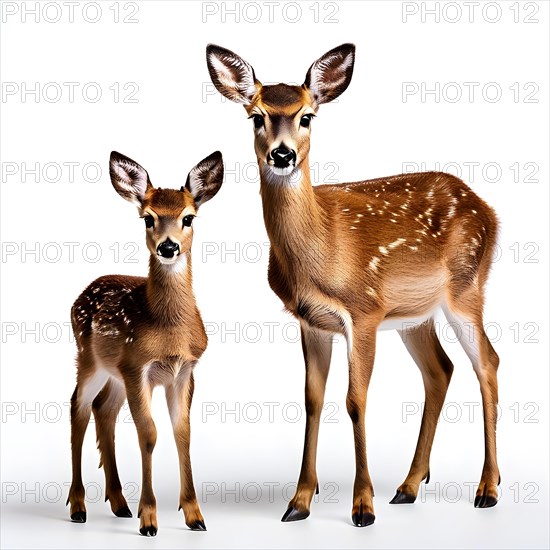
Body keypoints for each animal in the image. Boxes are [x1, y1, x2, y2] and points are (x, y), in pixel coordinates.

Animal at [67, 150, 224, 536]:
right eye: (148, 218)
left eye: (188, 217)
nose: (169, 246)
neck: (168, 329)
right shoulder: (139, 367)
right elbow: (149, 434)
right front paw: (149, 518)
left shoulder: (183, 371)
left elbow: (182, 432)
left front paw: (194, 515)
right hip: (89, 360)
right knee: (78, 407)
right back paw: (78, 506)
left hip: (115, 373)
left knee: (103, 410)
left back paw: (119, 504)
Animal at [208, 42, 504, 528]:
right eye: (256, 116)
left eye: (307, 116)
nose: (283, 155)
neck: (321, 252)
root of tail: (490, 212)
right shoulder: (312, 322)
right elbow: (312, 400)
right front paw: (299, 501)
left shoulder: (363, 312)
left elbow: (355, 400)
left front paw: (362, 506)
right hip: (413, 315)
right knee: (441, 369)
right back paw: (408, 486)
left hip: (466, 288)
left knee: (488, 363)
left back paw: (488, 489)